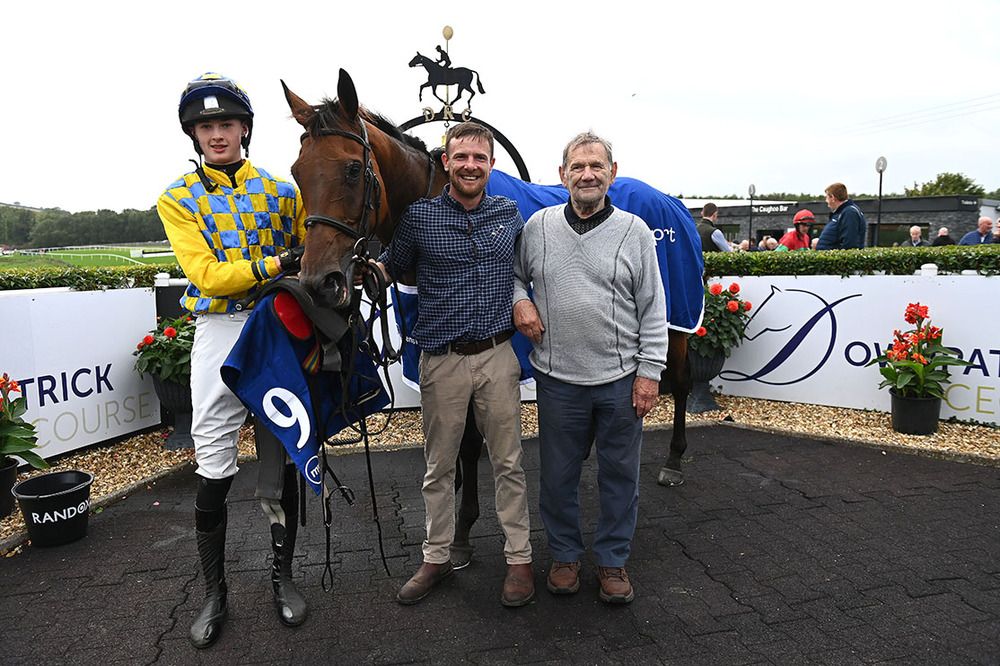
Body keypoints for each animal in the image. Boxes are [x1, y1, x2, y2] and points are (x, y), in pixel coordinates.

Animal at [284, 67, 696, 564]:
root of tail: (675, 202)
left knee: (680, 379)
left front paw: (462, 528)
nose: (318, 282)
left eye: (350, 169)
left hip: (675, 320)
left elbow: (468, 441)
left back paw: (674, 461)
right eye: (297, 172)